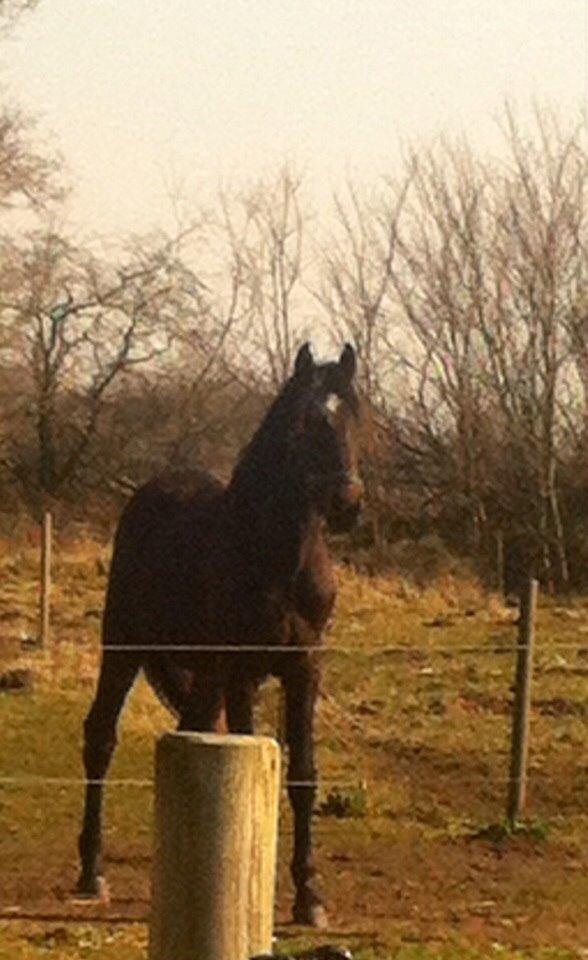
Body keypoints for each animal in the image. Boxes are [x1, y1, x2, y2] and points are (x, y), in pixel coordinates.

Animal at [77, 342, 362, 928]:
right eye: (305, 423)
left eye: (355, 414)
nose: (347, 502)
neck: (277, 555)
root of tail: (148, 492)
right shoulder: (241, 669)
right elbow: (254, 754)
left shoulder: (304, 666)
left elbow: (302, 774)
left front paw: (309, 897)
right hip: (124, 646)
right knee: (100, 738)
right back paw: (92, 873)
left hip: (200, 672)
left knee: (190, 730)